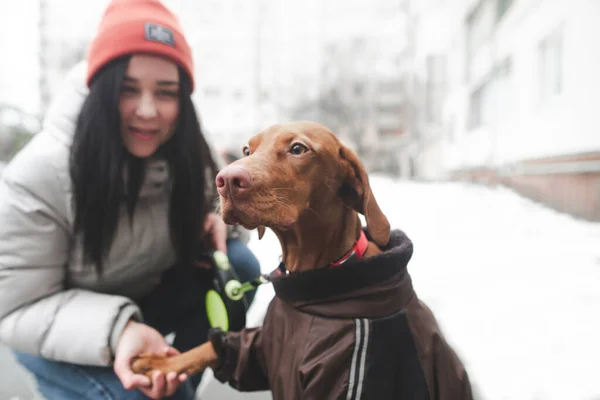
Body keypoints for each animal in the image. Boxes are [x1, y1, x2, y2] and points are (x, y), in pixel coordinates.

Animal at [132, 122, 474, 400]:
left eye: (298, 149)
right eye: (247, 149)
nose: (225, 180)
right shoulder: (260, 349)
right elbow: (216, 348)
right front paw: (159, 362)